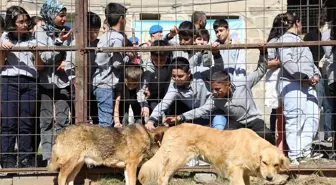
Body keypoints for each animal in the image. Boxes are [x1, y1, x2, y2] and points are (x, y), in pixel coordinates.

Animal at [138, 123, 290, 185]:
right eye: (264, 162)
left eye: (276, 165)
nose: (269, 178)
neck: (251, 146)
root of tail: (172, 128)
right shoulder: (235, 169)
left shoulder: (245, 173)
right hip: (177, 159)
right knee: (162, 177)